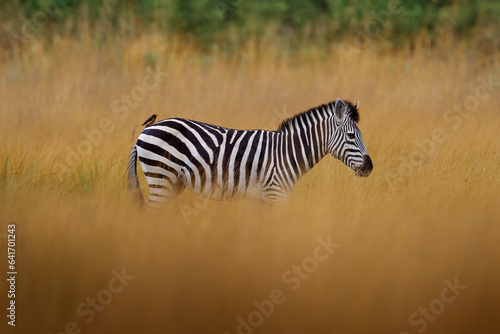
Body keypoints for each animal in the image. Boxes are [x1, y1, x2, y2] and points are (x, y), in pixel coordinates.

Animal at [128, 97, 372, 206]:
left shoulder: (262, 199)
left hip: (173, 182)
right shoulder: (275, 194)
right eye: (351, 136)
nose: (369, 167)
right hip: (161, 176)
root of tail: (148, 128)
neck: (287, 153)